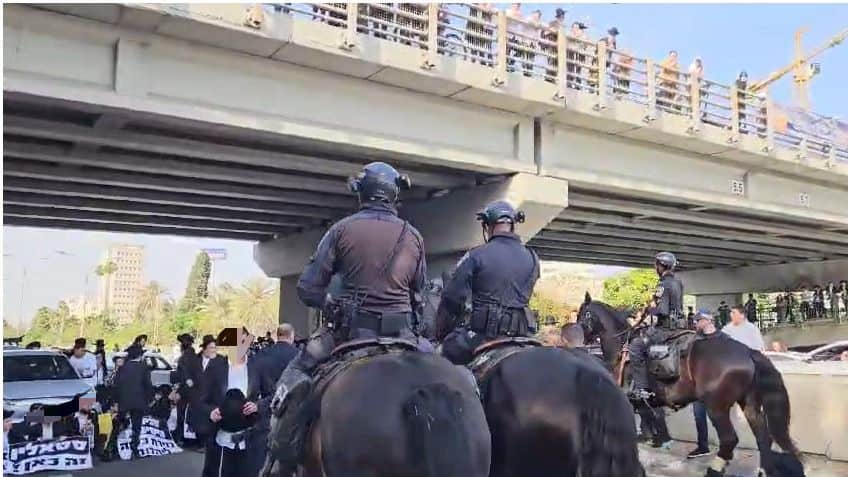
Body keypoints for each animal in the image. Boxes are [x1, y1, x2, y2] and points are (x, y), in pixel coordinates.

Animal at [580, 294, 804, 476]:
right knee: (763, 437)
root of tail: (747, 351)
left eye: (583, 315)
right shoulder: (648, 403)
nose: (583, 339)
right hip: (749, 402)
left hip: (716, 407)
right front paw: (657, 439)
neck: (621, 350)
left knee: (729, 439)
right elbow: (653, 419)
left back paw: (715, 469)